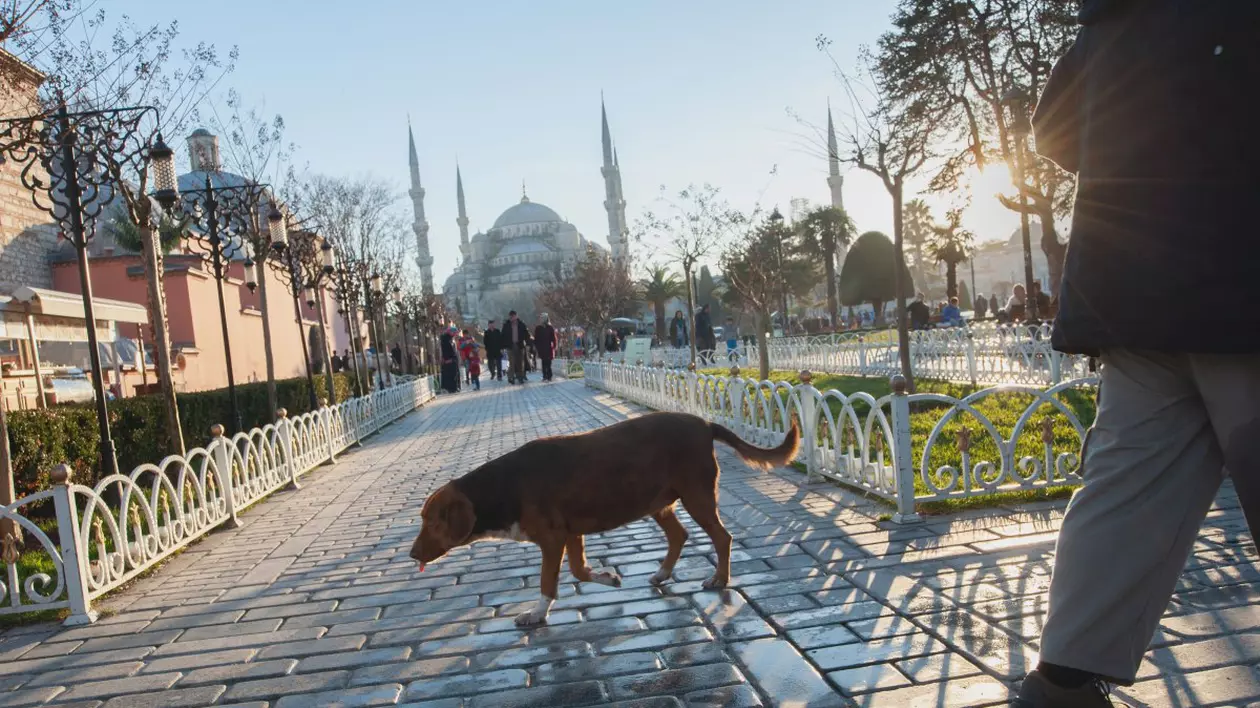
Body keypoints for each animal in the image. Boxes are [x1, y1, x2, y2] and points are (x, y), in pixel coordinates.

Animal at [410, 410, 796, 624]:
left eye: (431, 521)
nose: (412, 555)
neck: (502, 487)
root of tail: (704, 423)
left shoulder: (553, 538)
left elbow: (548, 581)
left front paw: (537, 614)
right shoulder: (570, 533)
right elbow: (579, 570)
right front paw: (608, 578)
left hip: (697, 497)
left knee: (722, 537)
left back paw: (719, 578)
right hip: (658, 502)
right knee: (679, 536)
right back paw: (662, 573)